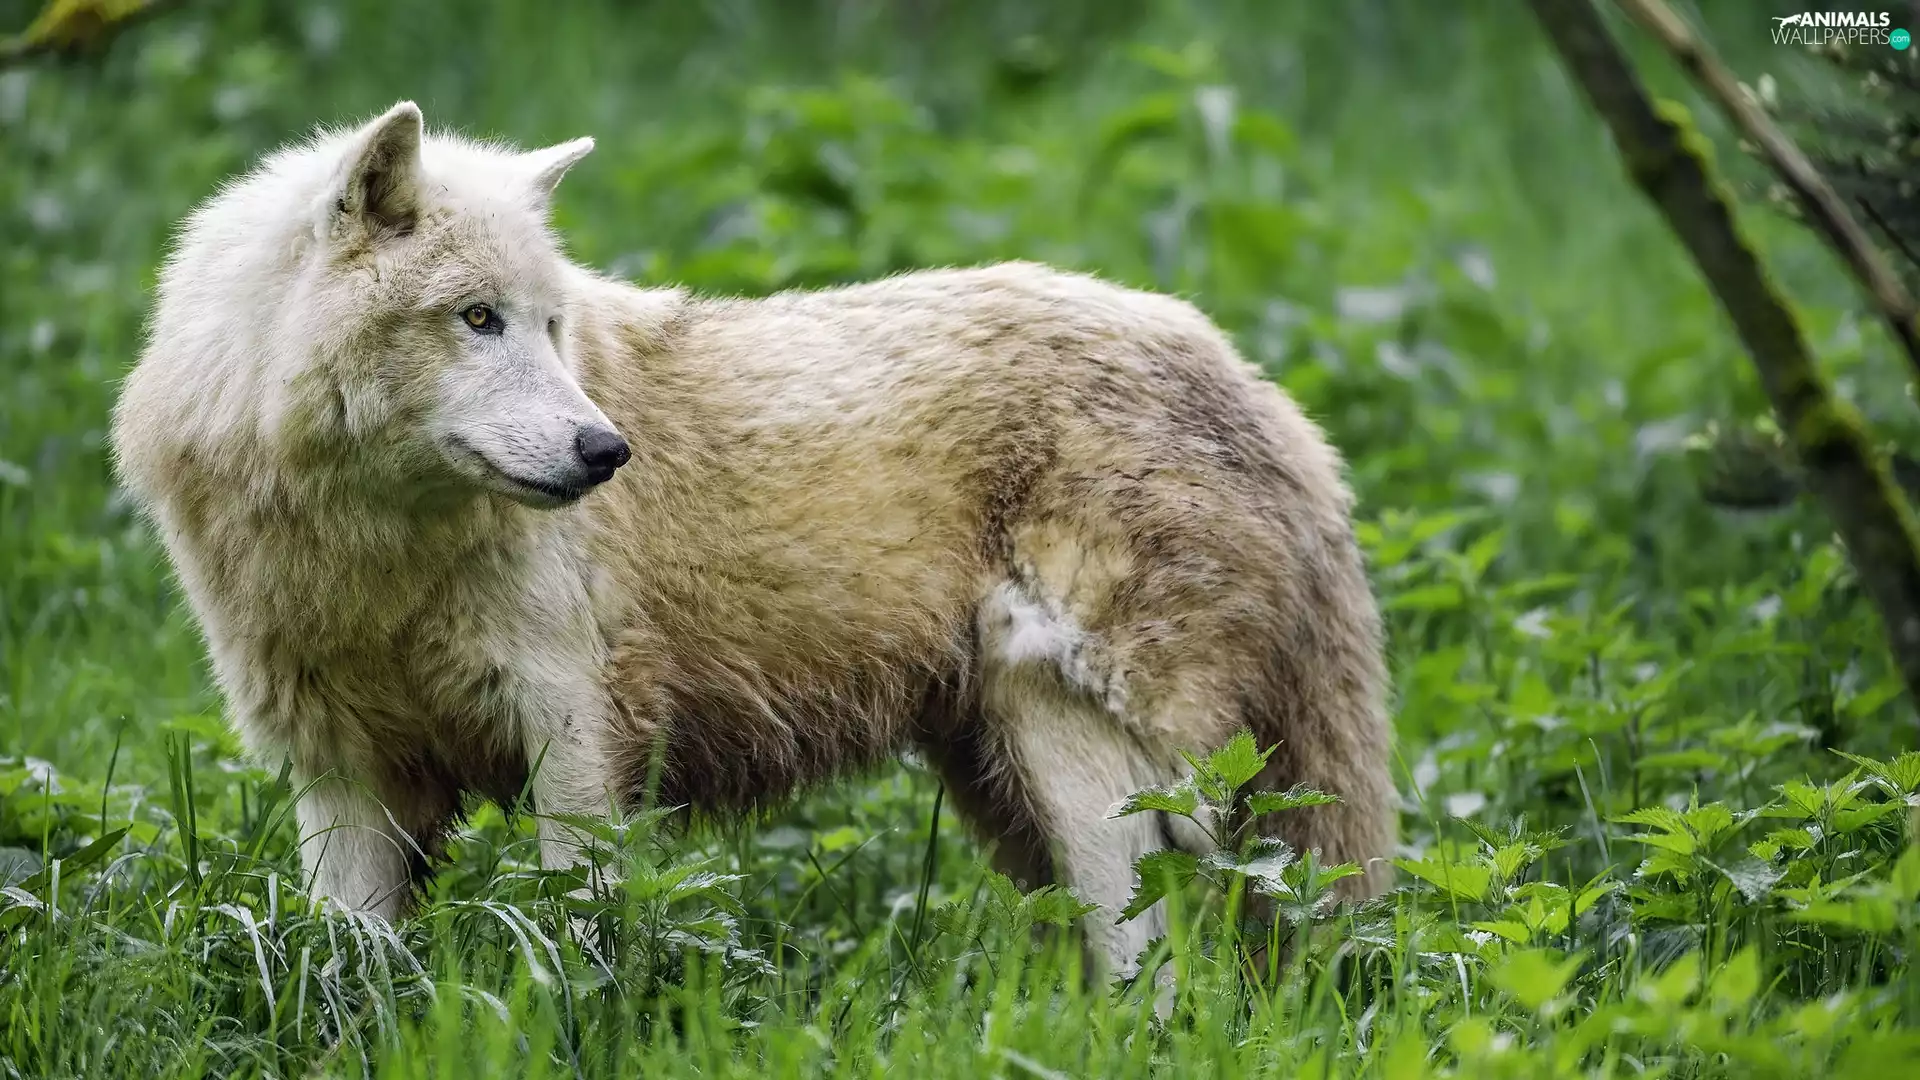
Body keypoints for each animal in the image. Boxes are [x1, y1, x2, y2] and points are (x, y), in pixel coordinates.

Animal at [110, 101, 1395, 978]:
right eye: (476, 320)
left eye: (550, 325)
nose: (605, 452)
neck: (372, 552)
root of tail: (1271, 398)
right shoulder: (342, 773)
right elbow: (355, 968)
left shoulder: (575, 733)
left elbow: (574, 939)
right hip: (1009, 789)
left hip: (1086, 761)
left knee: (1162, 969)